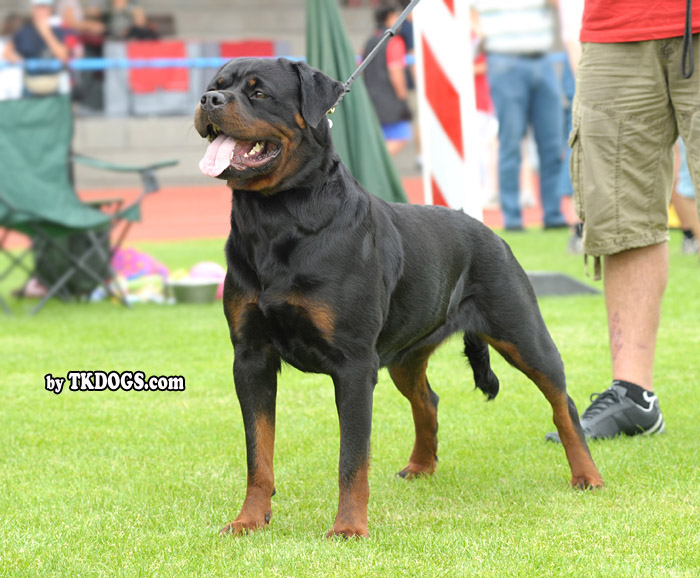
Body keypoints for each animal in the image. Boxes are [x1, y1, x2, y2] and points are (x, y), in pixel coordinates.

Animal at [194, 57, 604, 536]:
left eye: (259, 93)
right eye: (216, 85)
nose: (209, 100)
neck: (277, 219)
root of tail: (488, 231)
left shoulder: (354, 364)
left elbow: (352, 458)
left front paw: (349, 528)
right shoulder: (251, 356)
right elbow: (258, 452)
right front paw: (249, 520)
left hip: (522, 332)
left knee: (562, 402)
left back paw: (587, 475)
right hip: (404, 356)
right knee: (427, 400)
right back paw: (421, 466)